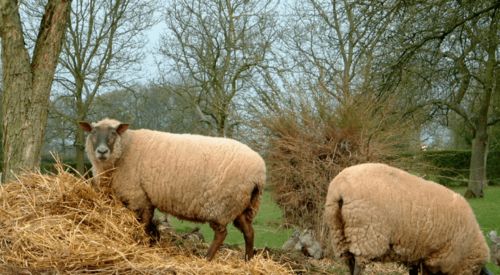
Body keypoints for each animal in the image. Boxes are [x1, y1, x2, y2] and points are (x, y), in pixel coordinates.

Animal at [79, 118, 266, 260]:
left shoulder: (137, 196)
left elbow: (142, 224)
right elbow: (148, 223)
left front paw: (142, 243)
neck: (125, 148)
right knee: (249, 231)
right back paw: (248, 259)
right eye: (93, 133)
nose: (102, 152)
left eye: (113, 133)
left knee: (222, 234)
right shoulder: (146, 197)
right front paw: (150, 242)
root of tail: (259, 173)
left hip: (222, 205)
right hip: (241, 205)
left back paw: (207, 258)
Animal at [322, 163, 490, 274]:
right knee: (358, 266)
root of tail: (340, 189)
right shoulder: (438, 258)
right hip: (365, 235)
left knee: (349, 263)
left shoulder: (416, 255)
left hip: (339, 234)